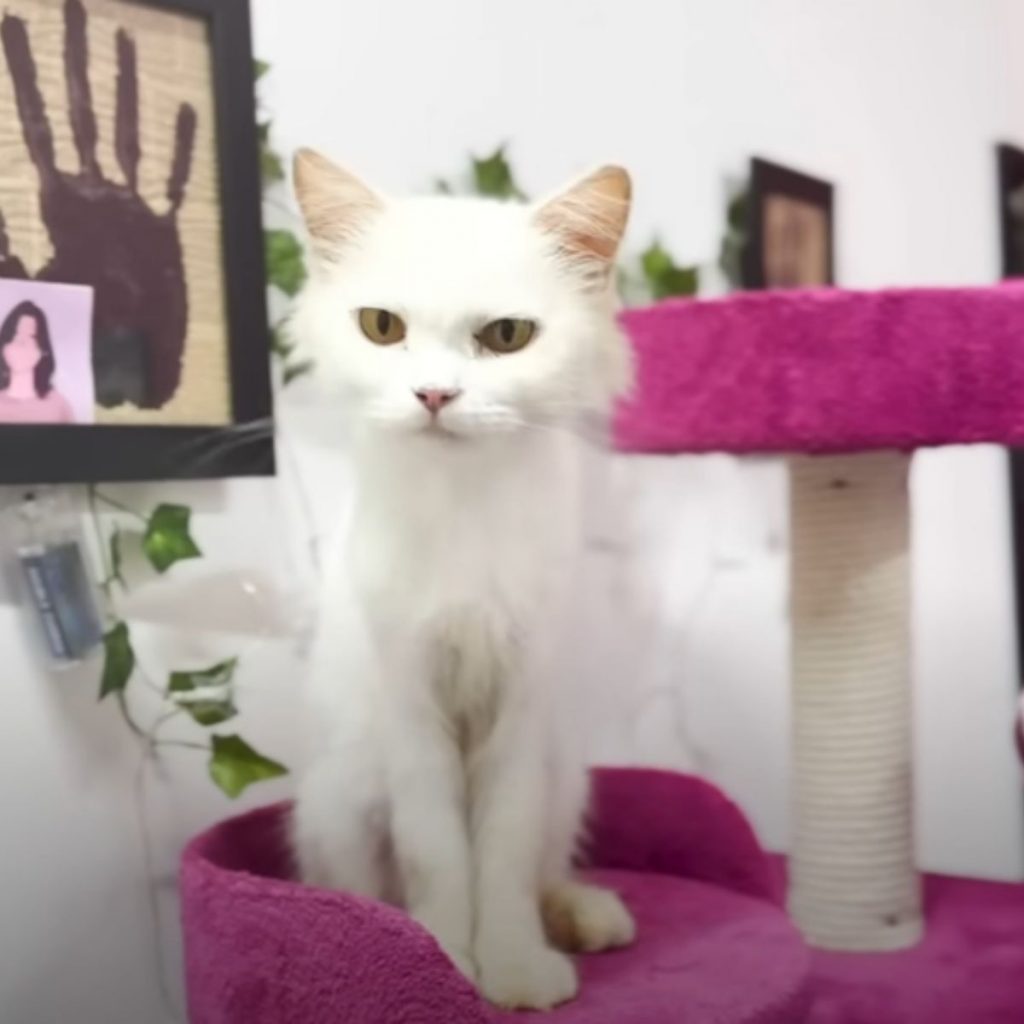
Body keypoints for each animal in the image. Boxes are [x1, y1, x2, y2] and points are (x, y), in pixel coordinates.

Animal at [288, 151, 634, 1007]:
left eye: (506, 337)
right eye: (382, 327)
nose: (435, 395)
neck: (463, 508)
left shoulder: (521, 703)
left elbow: (503, 856)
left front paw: (513, 972)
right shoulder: (413, 706)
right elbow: (438, 854)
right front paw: (441, 960)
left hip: (565, 775)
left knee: (547, 871)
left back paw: (587, 920)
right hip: (339, 799)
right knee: (361, 887)